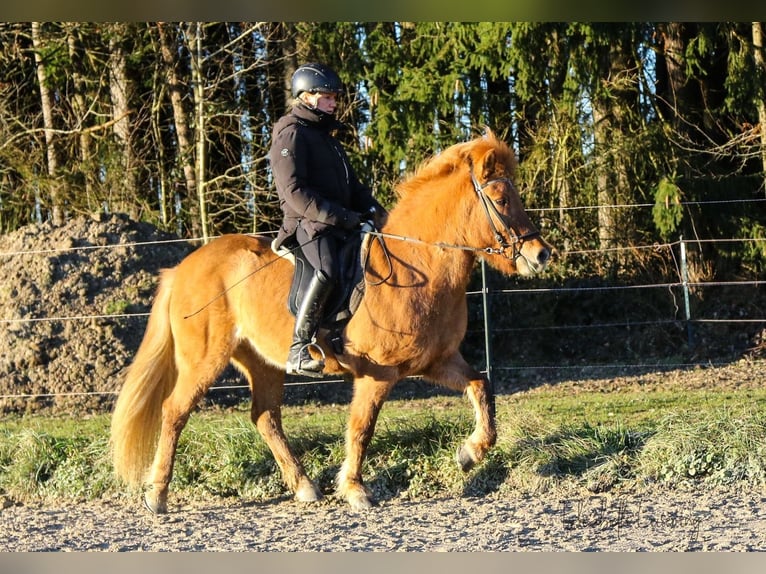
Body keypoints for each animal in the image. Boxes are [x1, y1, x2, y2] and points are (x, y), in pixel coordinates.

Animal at [109, 129, 552, 512]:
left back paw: (305, 487)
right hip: (204, 360)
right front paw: (356, 490)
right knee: (174, 412)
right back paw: (157, 495)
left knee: (265, 417)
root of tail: (182, 268)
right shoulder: (378, 373)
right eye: (501, 198)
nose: (541, 254)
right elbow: (362, 427)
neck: (421, 265)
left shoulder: (436, 362)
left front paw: (469, 454)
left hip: (263, 362)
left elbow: (482, 387)